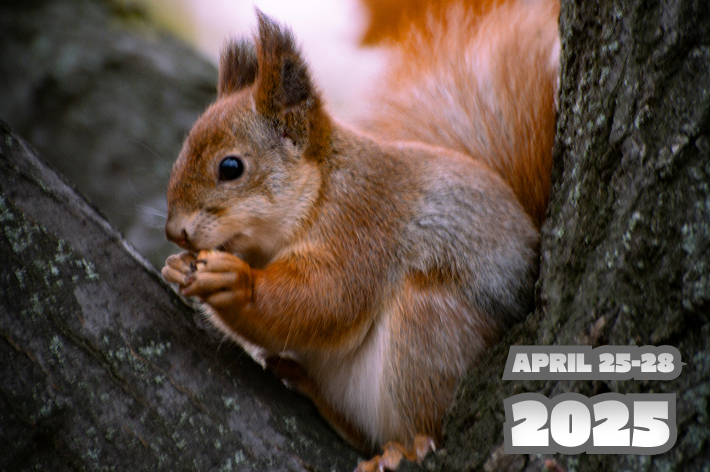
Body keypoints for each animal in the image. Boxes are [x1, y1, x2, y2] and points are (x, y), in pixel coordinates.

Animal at [161, 0, 559, 470]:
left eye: (231, 168)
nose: (175, 232)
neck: (320, 190)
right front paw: (177, 268)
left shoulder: (362, 227)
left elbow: (328, 296)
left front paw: (236, 282)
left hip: (429, 329)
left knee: (425, 419)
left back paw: (406, 448)